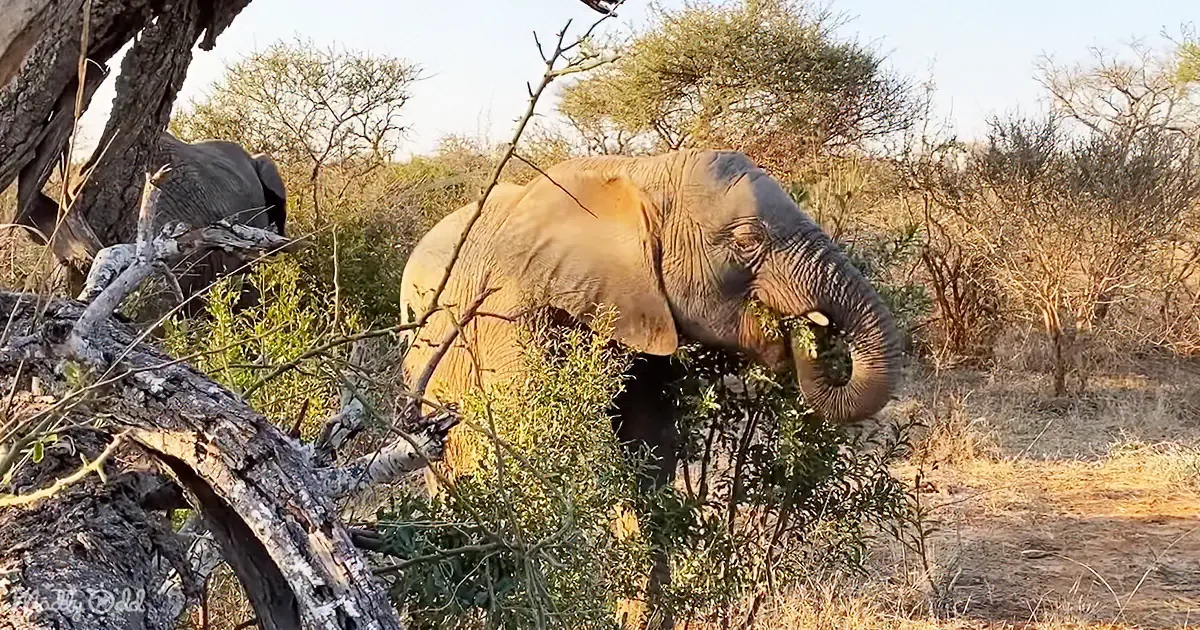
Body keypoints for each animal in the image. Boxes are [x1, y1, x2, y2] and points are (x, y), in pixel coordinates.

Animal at [398, 148, 901, 627]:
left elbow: (649, 450)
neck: (645, 172)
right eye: (747, 241)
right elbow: (552, 452)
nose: (809, 332)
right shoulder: (511, 314)